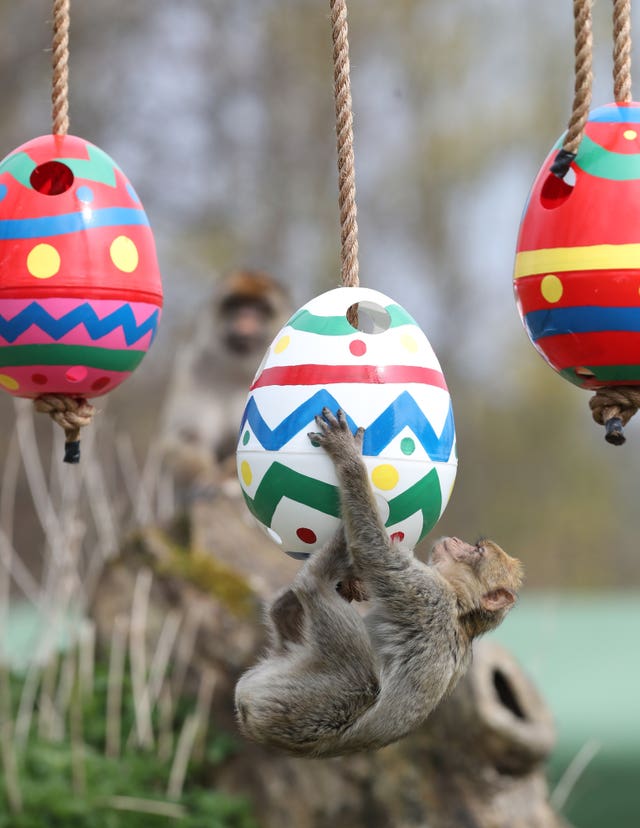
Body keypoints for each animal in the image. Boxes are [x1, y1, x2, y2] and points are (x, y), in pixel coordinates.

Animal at [160, 268, 292, 494]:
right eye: (235, 305)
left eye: (260, 309)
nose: (245, 319)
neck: (236, 369)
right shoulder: (194, 367)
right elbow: (186, 436)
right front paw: (207, 478)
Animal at [232, 410, 524, 760]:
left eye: (477, 551)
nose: (456, 540)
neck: (461, 609)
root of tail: (251, 718)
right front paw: (352, 585)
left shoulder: (426, 595)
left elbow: (374, 551)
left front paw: (349, 458)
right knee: (285, 612)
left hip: (312, 703)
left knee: (359, 675)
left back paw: (322, 568)